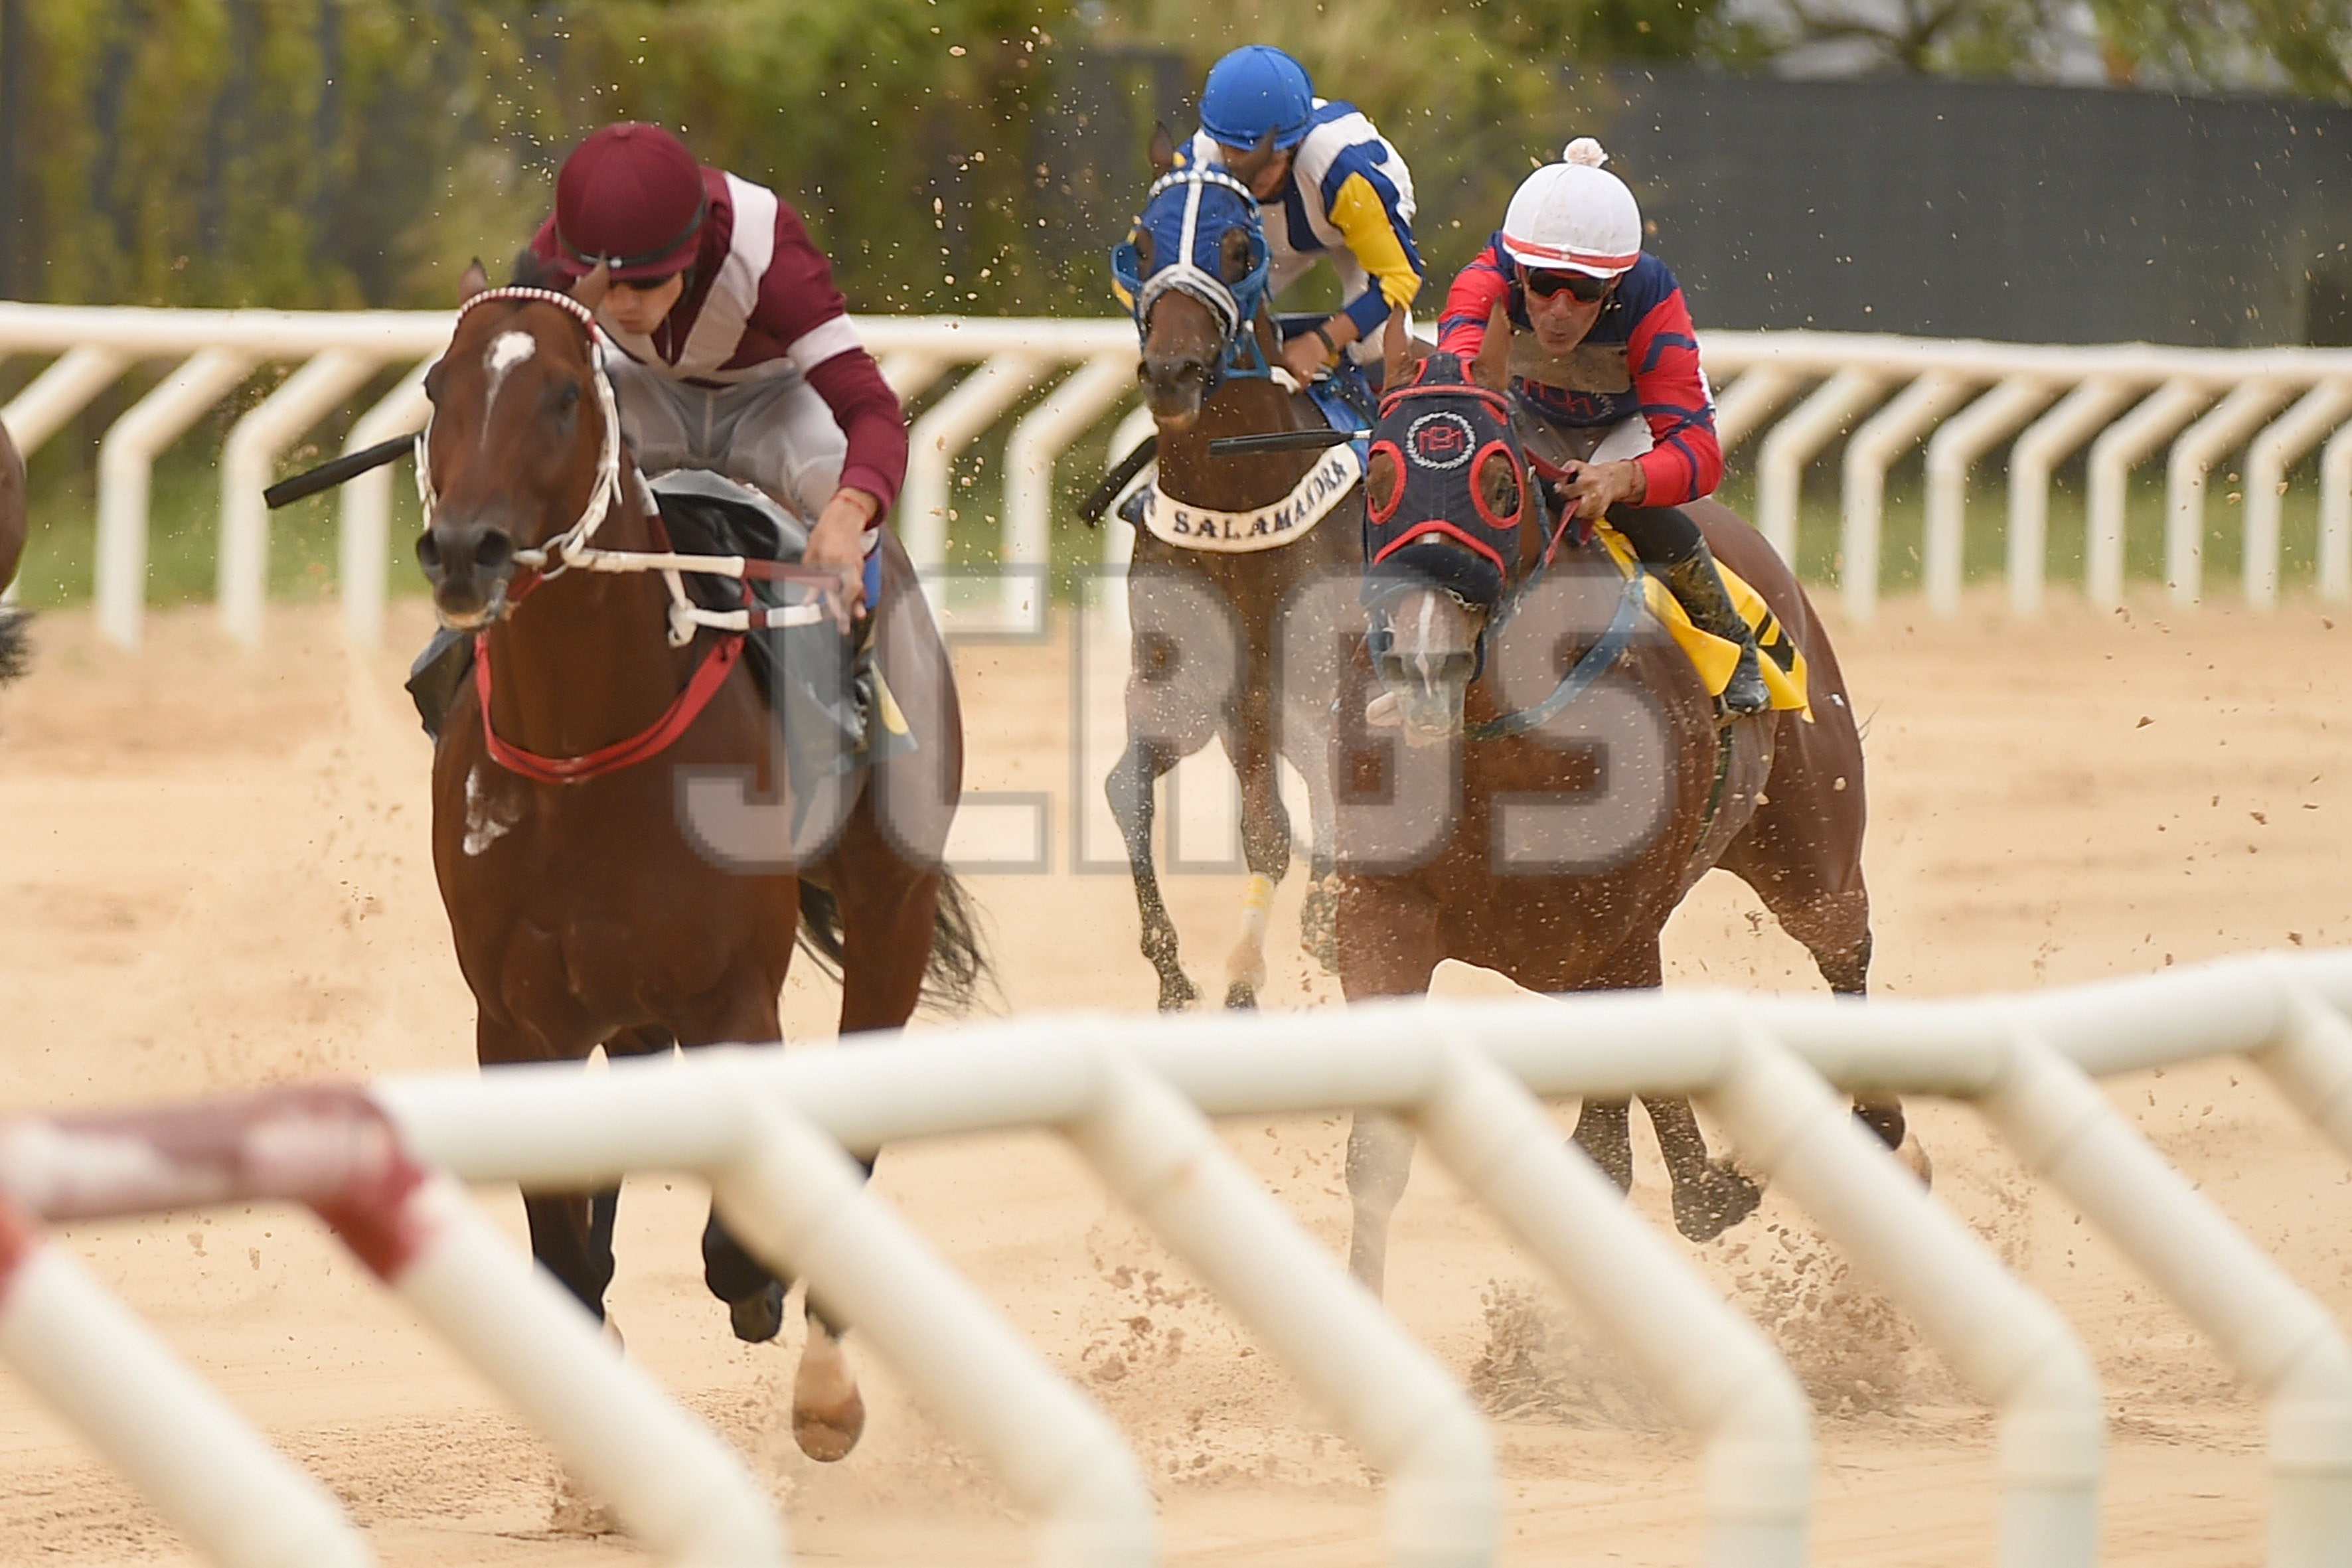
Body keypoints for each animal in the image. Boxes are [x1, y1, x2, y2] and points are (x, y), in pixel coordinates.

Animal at [414, 261, 986, 1461]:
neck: (582, 751)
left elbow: (741, 1236)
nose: (463, 548)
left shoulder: (734, 998)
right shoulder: (515, 1021)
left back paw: (824, 1381)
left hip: (893, 908)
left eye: (563, 397)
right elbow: (562, 1261)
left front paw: (763, 1291)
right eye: (440, 384)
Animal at [1107, 125, 1363, 1010]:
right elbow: (1132, 790)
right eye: (1142, 243)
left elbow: (1282, 827)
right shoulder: (1198, 690)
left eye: (1239, 246)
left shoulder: (1318, 673)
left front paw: (1245, 977)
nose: (1171, 374)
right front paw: (1171, 969)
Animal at [1335, 323, 1902, 1296]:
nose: (1421, 661)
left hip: (1809, 841)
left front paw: (1726, 1179)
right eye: (1376, 473)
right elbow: (1379, 1149)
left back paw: (1877, 1129)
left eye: (1498, 481)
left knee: (1841, 945)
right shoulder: (1385, 913)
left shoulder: (1614, 929)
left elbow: (1636, 1136)